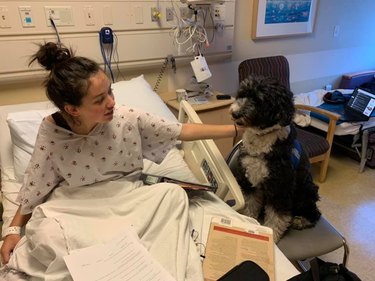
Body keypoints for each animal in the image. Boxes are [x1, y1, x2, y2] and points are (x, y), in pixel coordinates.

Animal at [231, 75, 322, 241]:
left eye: (259, 100)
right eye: (242, 94)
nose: (235, 114)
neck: (261, 138)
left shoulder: (281, 187)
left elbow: (277, 216)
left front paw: (272, 235)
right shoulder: (249, 181)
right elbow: (250, 204)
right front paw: (249, 221)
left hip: (306, 191)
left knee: (315, 212)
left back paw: (301, 220)